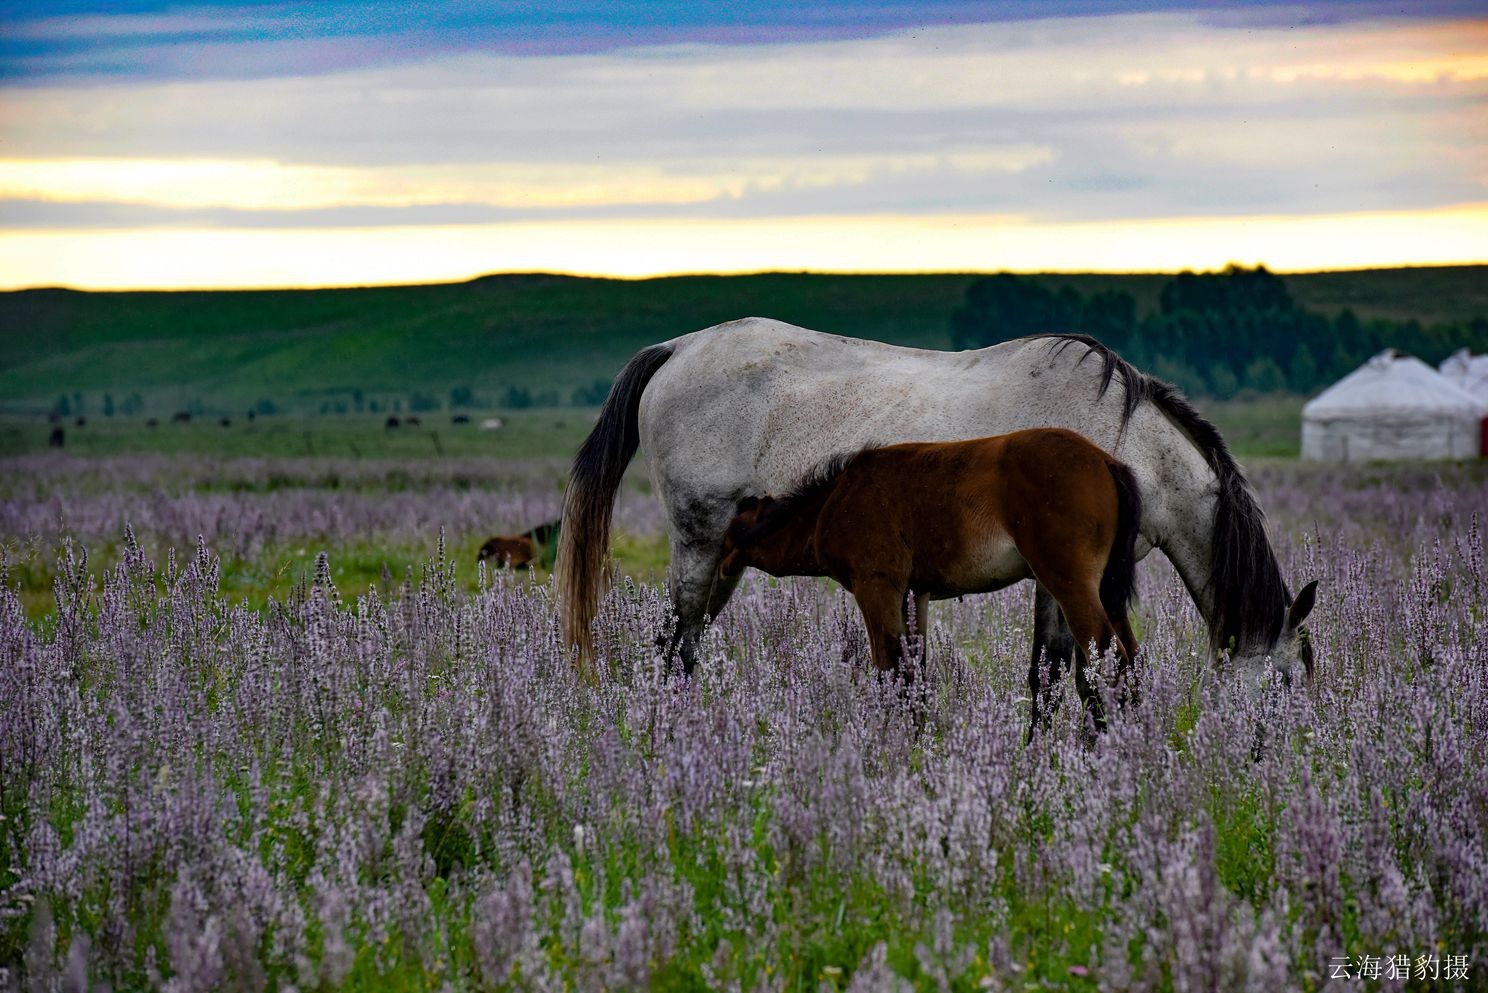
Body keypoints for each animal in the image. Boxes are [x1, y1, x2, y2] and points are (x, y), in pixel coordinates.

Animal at [717, 422, 1136, 735]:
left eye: (731, 534)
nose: (721, 566)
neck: (835, 501)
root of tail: (1105, 460)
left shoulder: (877, 587)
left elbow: (890, 669)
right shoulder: (913, 595)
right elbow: (914, 672)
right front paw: (916, 741)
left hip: (1068, 583)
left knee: (1111, 659)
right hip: (1091, 590)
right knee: (1127, 659)